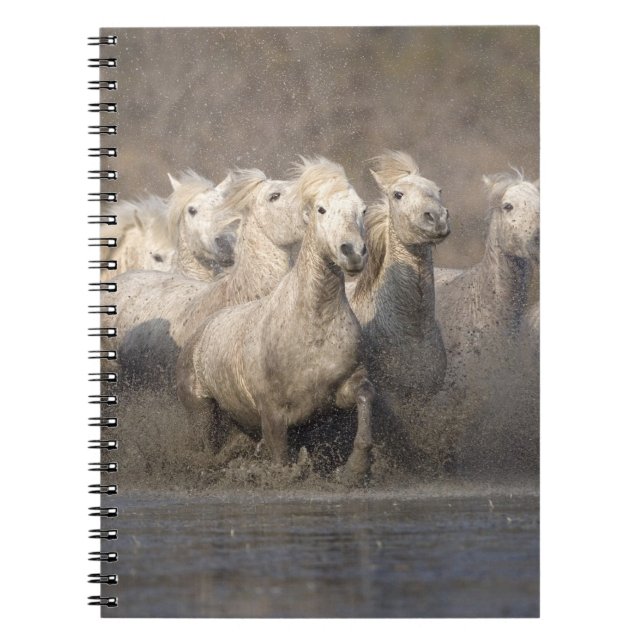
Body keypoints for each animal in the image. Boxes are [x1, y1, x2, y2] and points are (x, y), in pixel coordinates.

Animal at [177, 157, 374, 484]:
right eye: (321, 209)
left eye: (362, 210)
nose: (353, 252)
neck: (313, 323)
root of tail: (197, 334)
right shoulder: (272, 415)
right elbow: (281, 460)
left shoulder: (339, 391)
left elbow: (365, 399)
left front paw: (355, 469)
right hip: (203, 411)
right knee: (207, 449)